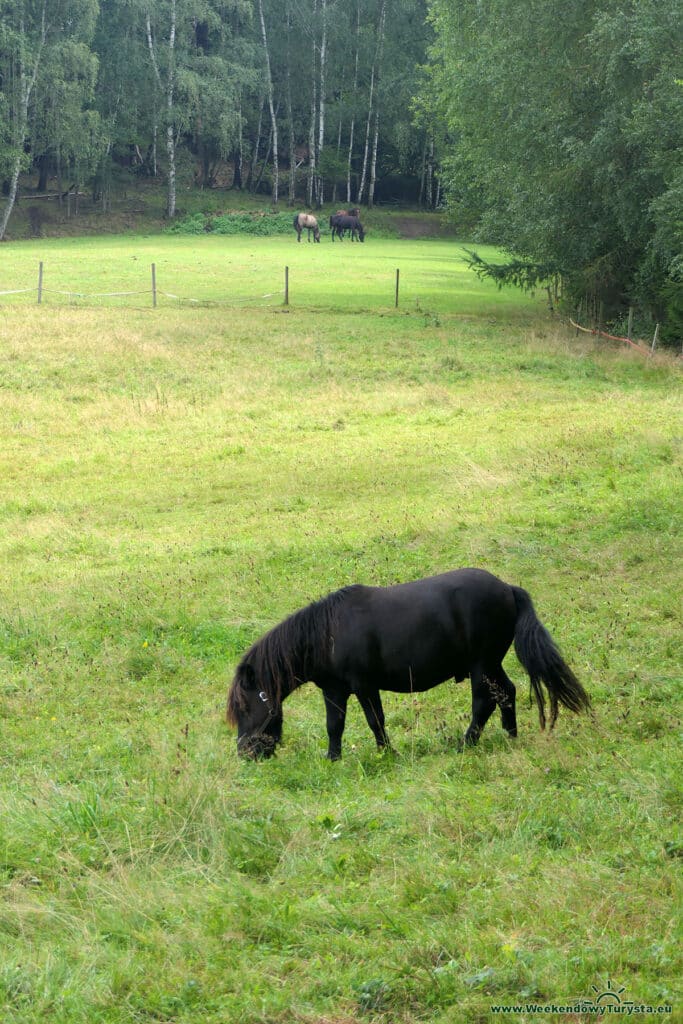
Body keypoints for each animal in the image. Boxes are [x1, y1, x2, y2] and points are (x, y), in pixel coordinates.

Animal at [227, 569, 589, 761]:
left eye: (245, 707)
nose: (246, 753)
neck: (328, 633)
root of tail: (508, 589)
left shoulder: (364, 686)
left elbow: (375, 721)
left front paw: (387, 754)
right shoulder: (334, 690)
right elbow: (335, 725)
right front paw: (333, 759)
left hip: (481, 666)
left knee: (484, 703)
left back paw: (465, 744)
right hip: (490, 665)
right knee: (507, 693)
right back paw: (510, 737)